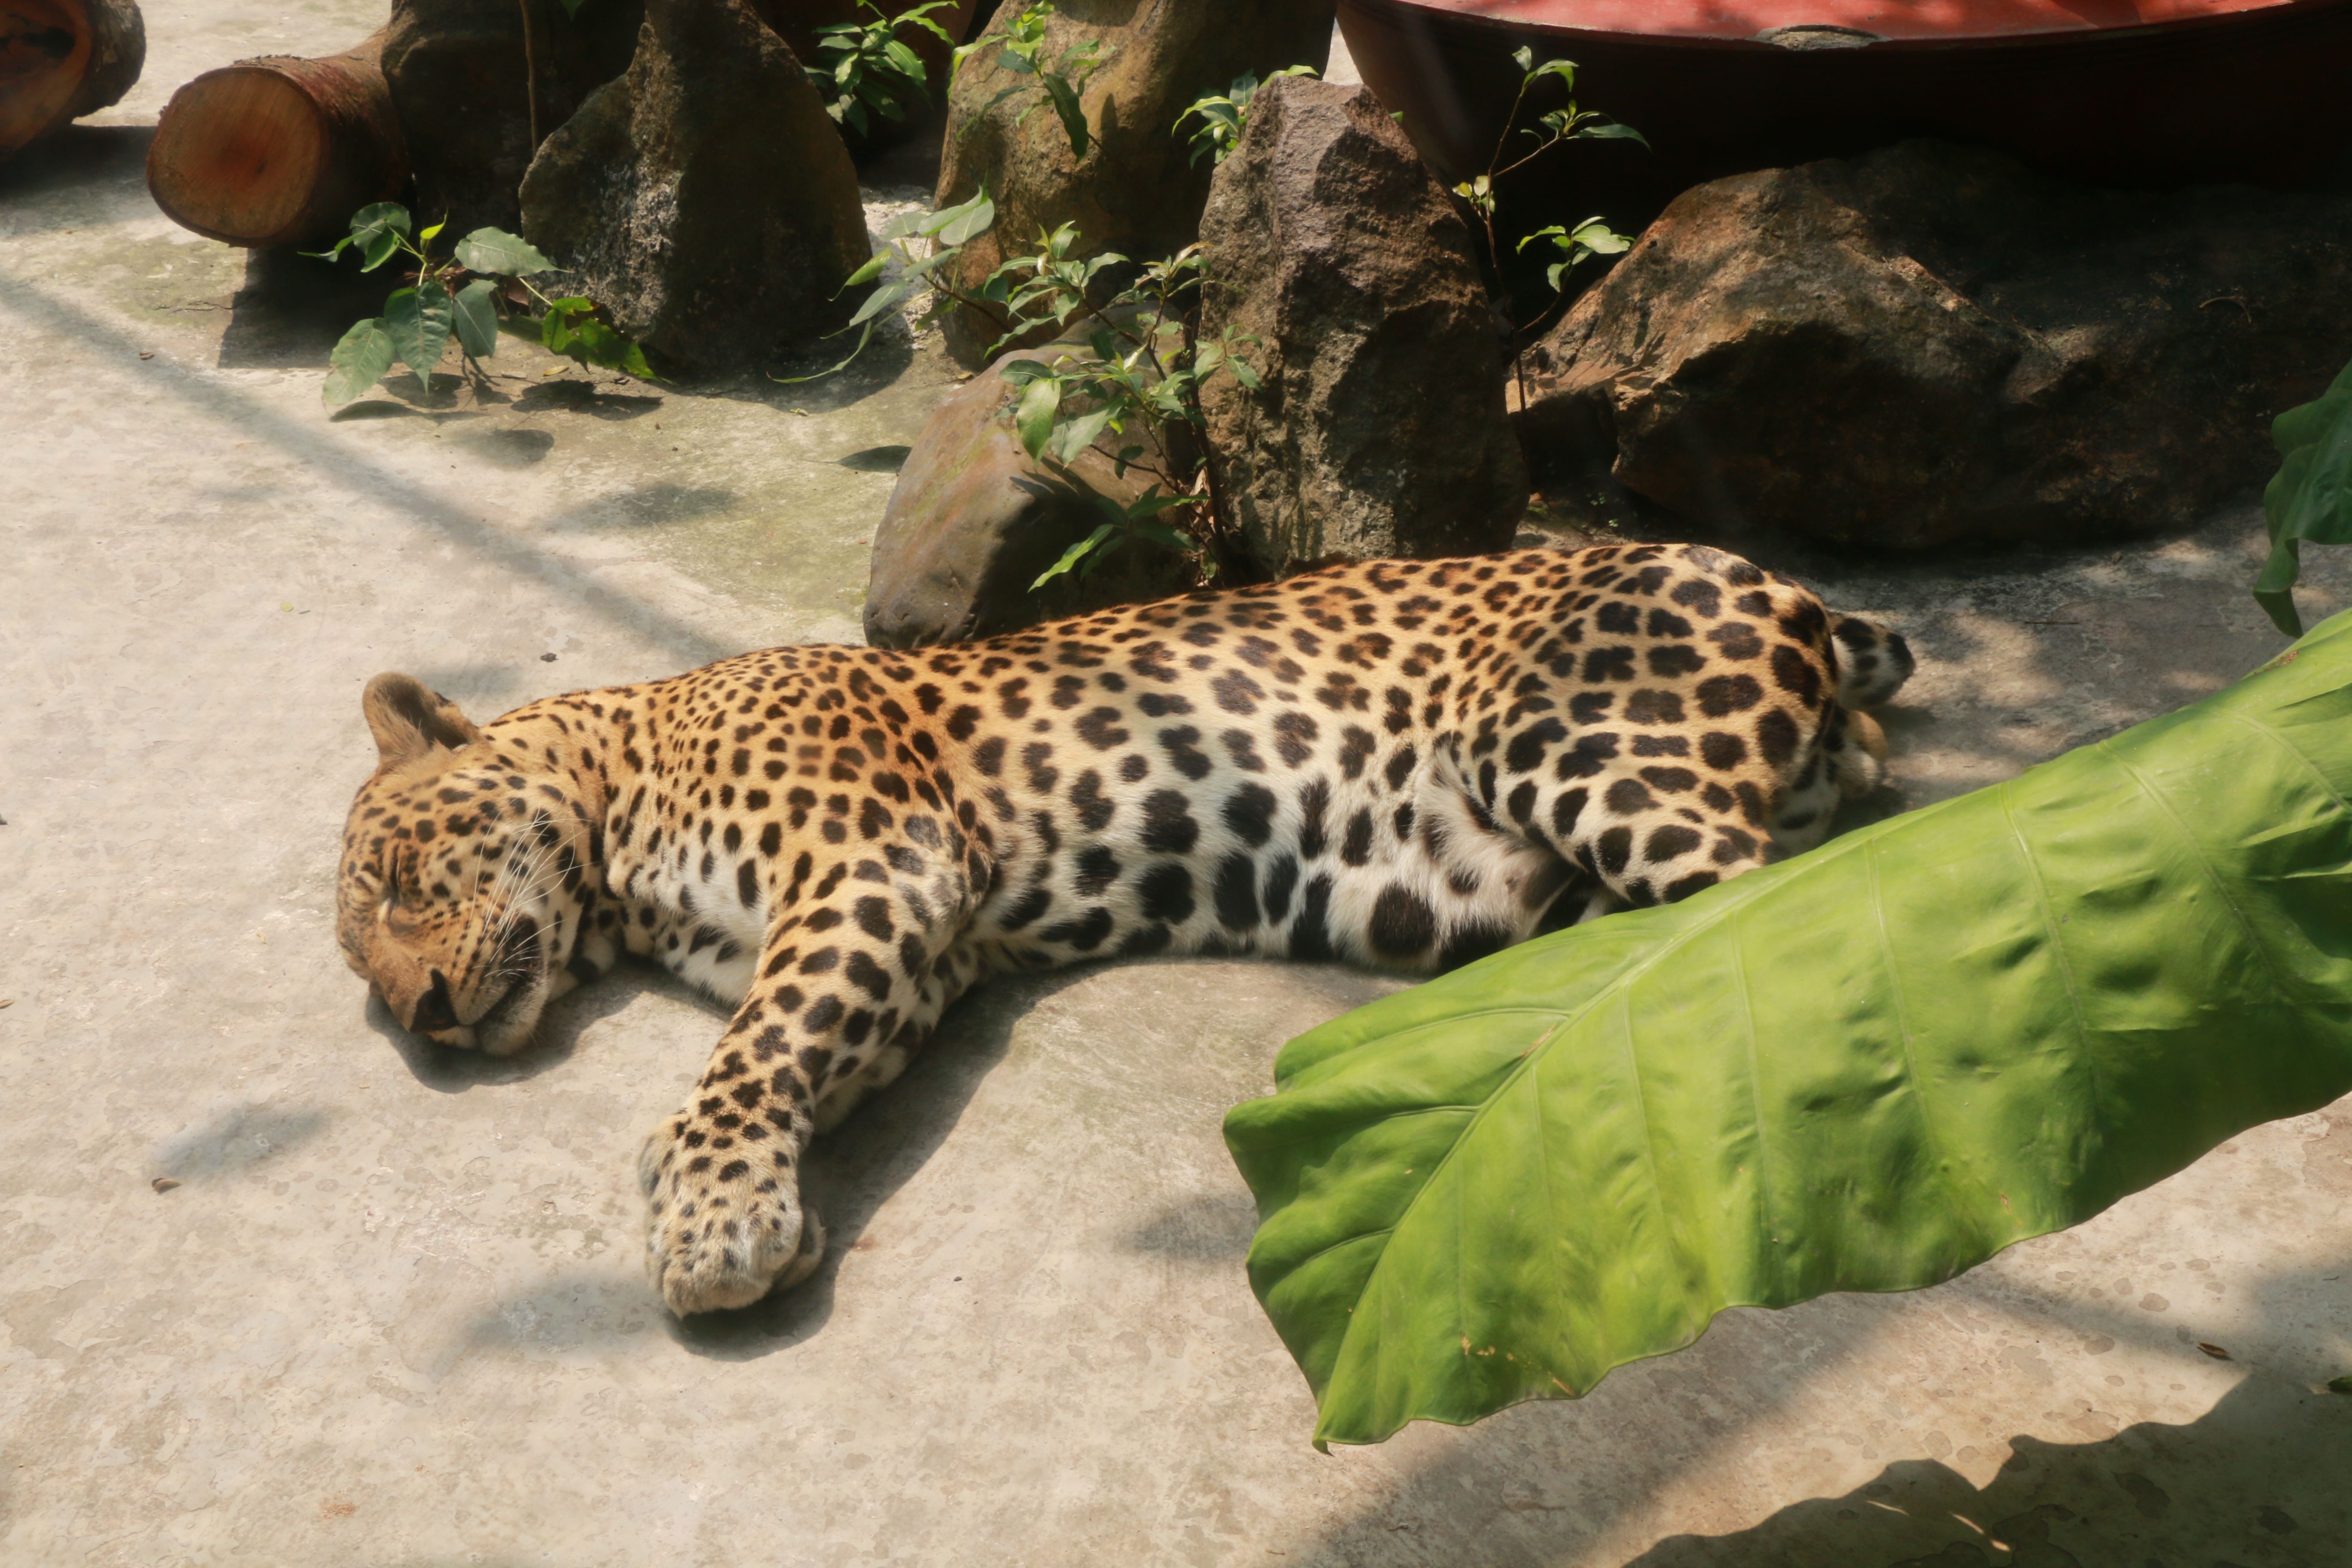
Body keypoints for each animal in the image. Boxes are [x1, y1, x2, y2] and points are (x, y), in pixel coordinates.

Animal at [336, 540, 1910, 1316]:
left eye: (397, 879)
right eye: (364, 966)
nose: (423, 1020)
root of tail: (1786, 586)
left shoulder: (870, 869)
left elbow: (752, 1051)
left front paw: (716, 1214)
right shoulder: (913, 950)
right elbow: (790, 1053)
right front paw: (713, 1176)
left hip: (1574, 743)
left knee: (1772, 911)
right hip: (1555, 874)